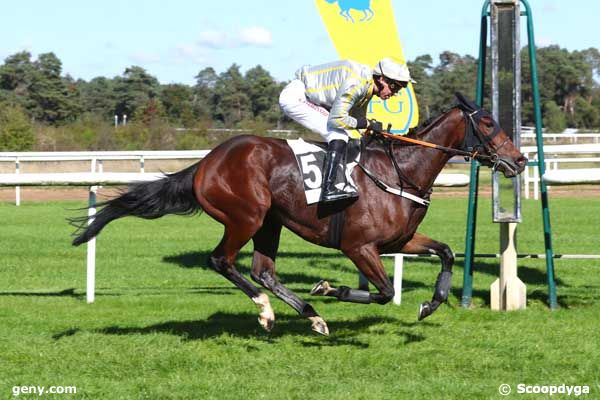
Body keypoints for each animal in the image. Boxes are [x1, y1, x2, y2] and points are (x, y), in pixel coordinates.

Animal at [74, 93, 524, 334]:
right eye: (487, 121)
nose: (519, 161)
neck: (400, 171)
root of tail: (206, 162)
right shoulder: (360, 247)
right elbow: (383, 291)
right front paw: (329, 288)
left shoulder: (399, 240)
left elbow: (446, 252)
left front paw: (431, 304)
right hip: (246, 217)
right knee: (222, 261)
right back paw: (270, 311)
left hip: (270, 222)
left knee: (263, 270)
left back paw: (310, 316)